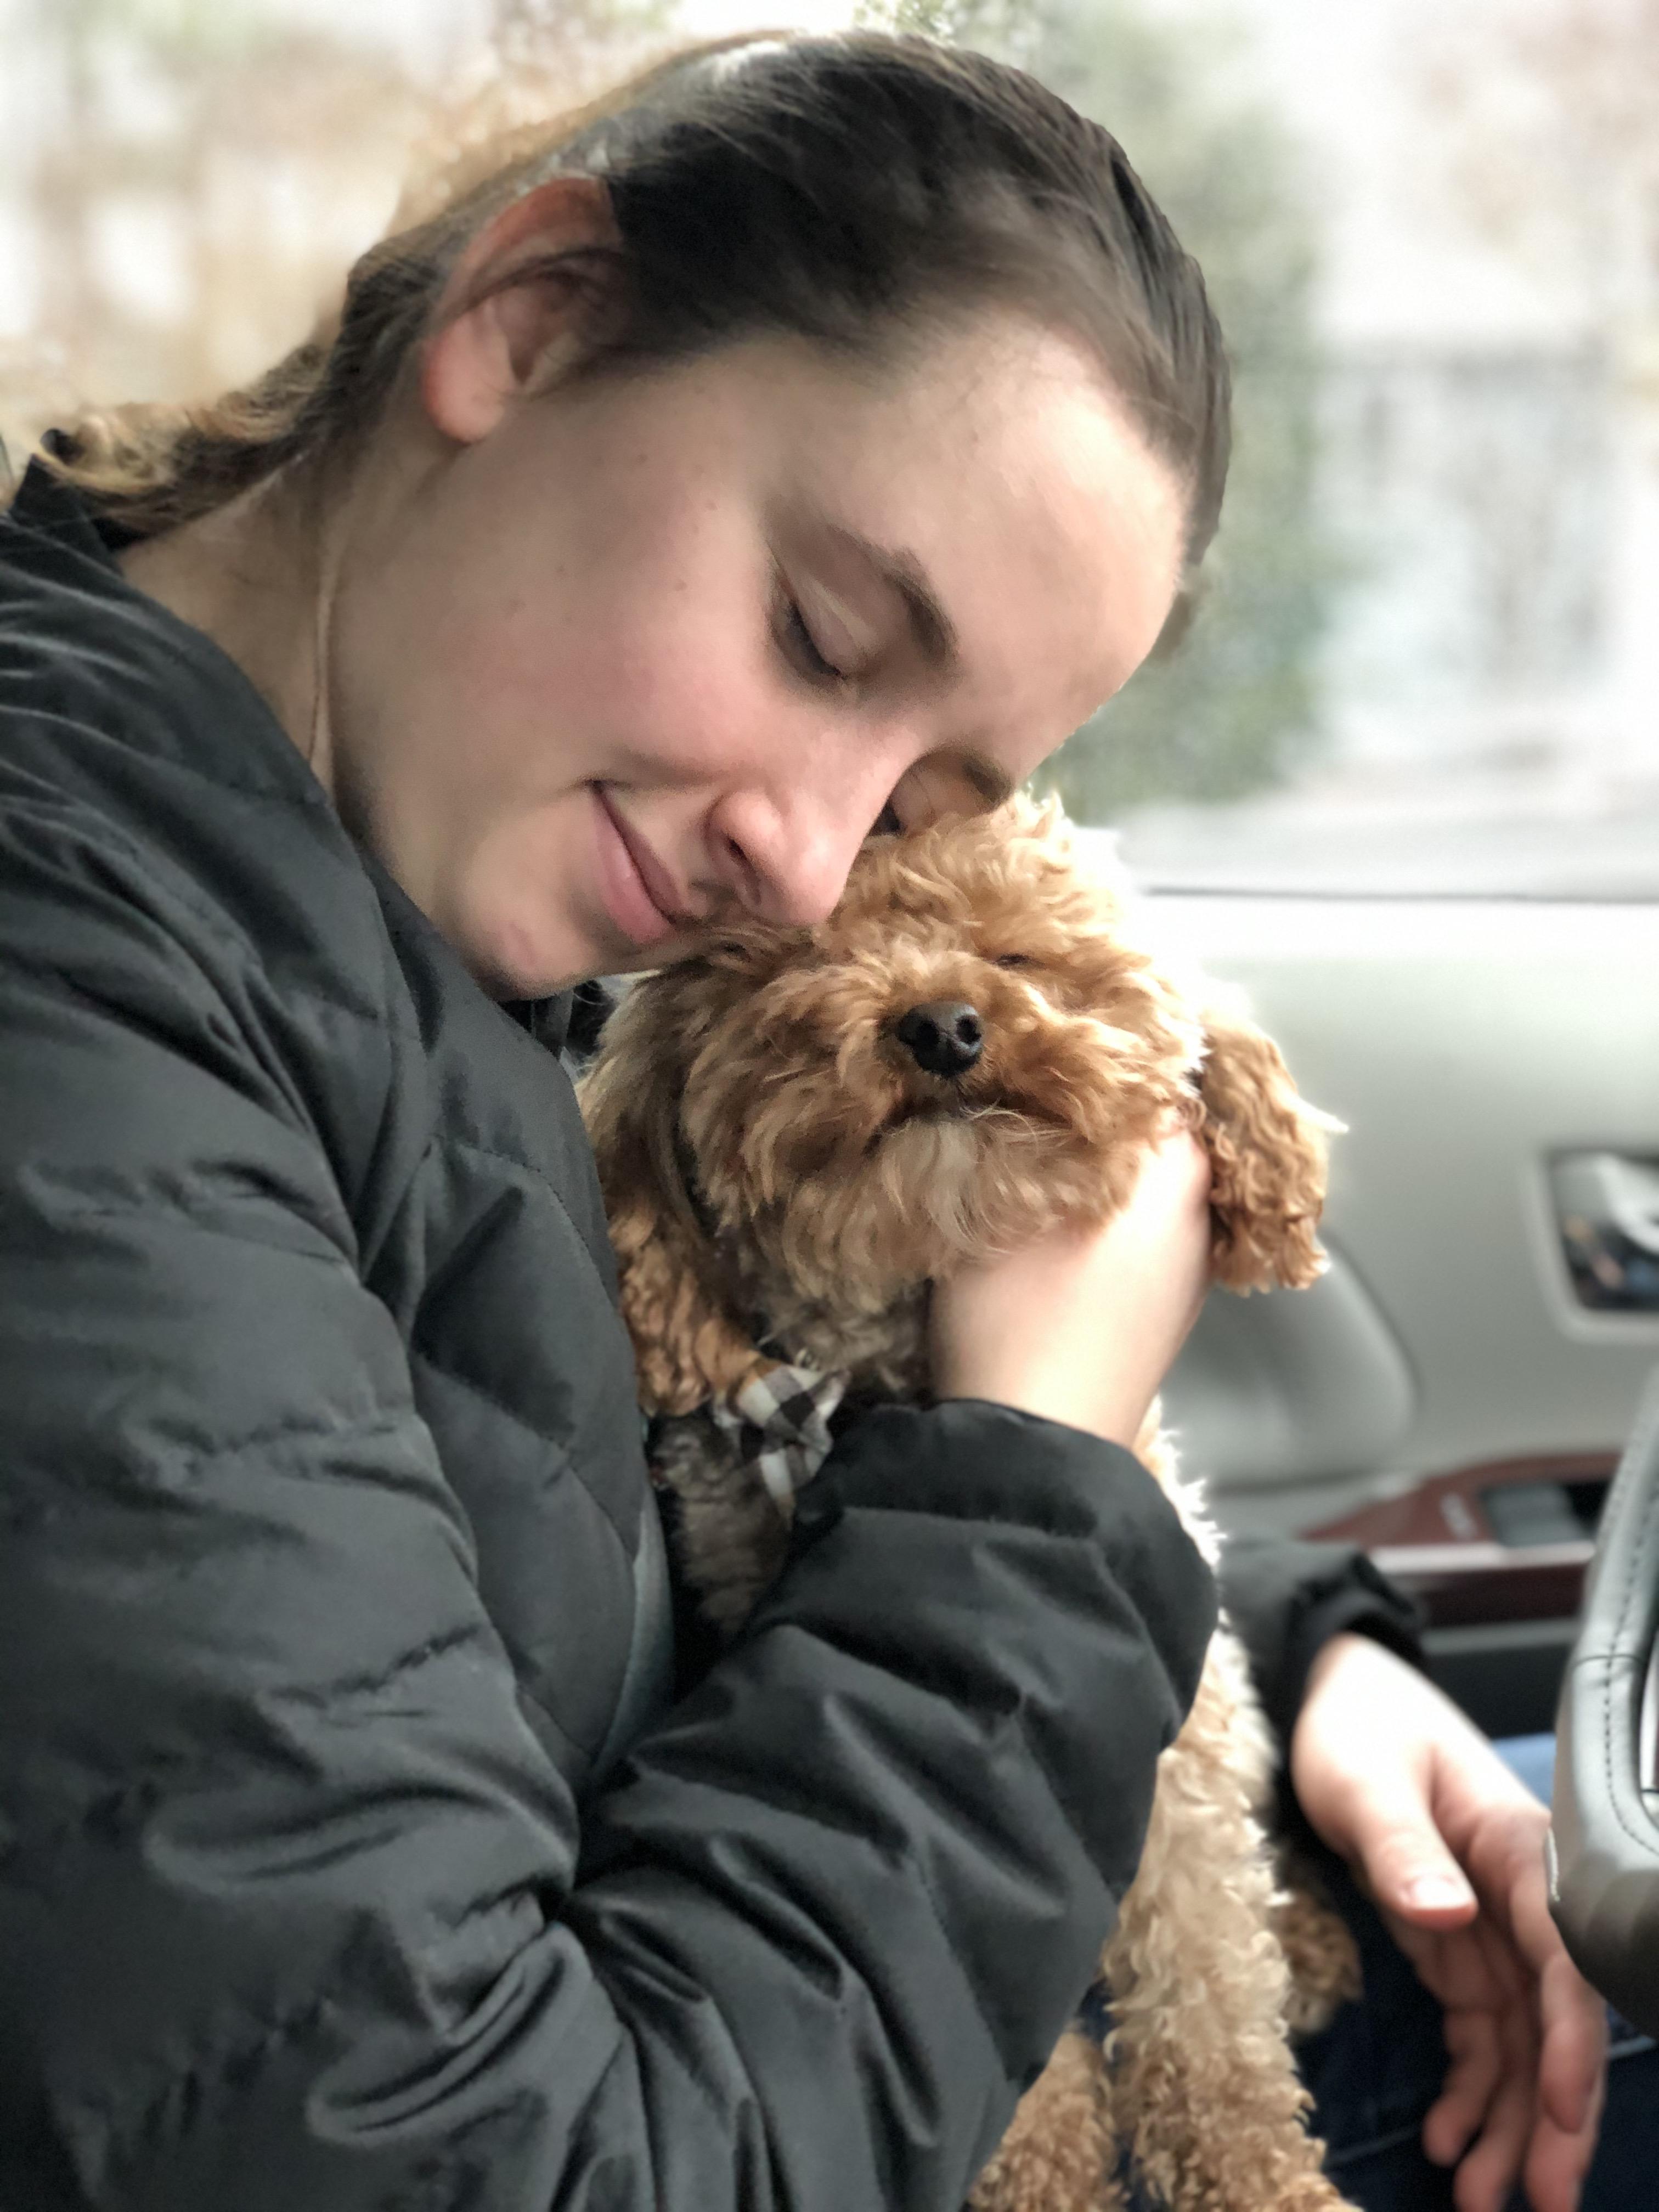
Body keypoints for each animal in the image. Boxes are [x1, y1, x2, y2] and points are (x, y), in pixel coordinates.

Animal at [579, 797, 1361, 2212]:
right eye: (786, 969)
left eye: (1020, 953)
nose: (940, 1025)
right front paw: (1047, 2171)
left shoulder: (1182, 1756)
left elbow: (1211, 2002)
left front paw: (1261, 2175)